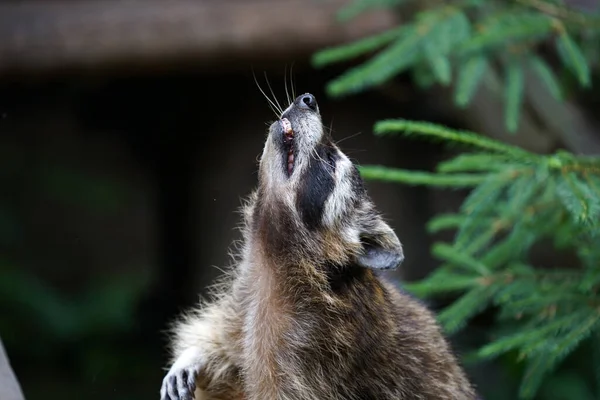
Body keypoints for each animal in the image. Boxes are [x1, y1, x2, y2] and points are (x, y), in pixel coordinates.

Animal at [161, 94, 478, 400]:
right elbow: (226, 345)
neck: (271, 246)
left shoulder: (311, 348)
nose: (308, 98)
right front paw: (196, 352)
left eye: (330, 159)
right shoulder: (244, 294)